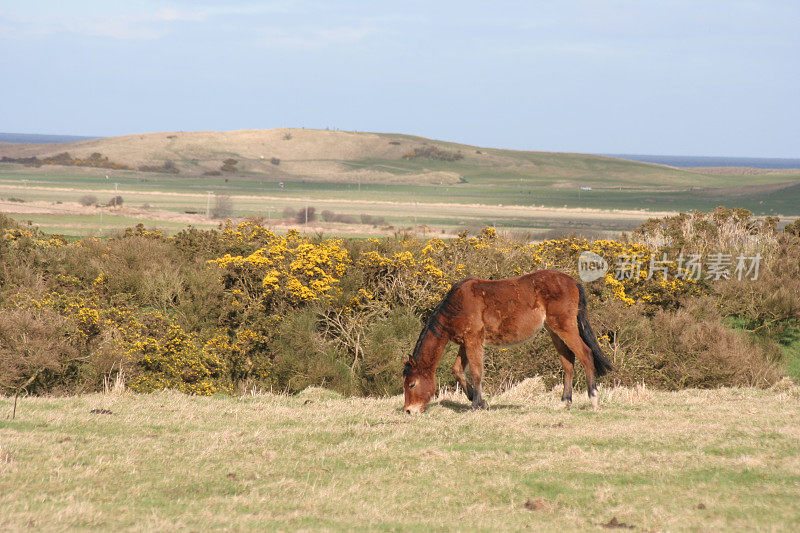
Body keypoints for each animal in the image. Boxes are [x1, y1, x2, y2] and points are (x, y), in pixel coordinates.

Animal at [404, 270, 616, 412]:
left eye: (412, 384)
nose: (408, 411)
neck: (458, 304)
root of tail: (573, 282)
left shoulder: (473, 340)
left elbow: (476, 372)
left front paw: (476, 405)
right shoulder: (466, 342)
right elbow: (457, 370)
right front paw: (477, 400)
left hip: (565, 328)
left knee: (586, 355)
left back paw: (594, 400)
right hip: (555, 331)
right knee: (568, 363)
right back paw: (565, 402)